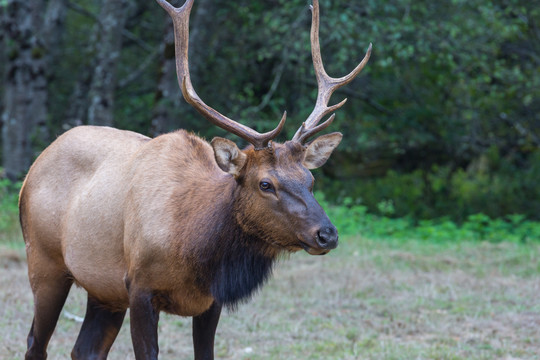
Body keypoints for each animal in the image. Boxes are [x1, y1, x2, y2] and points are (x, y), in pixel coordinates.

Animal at [19, 0, 370, 358]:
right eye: (265, 184)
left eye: (310, 180)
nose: (327, 235)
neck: (194, 250)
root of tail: (35, 166)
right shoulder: (139, 287)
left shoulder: (209, 302)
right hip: (44, 261)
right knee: (35, 342)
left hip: (102, 289)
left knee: (85, 349)